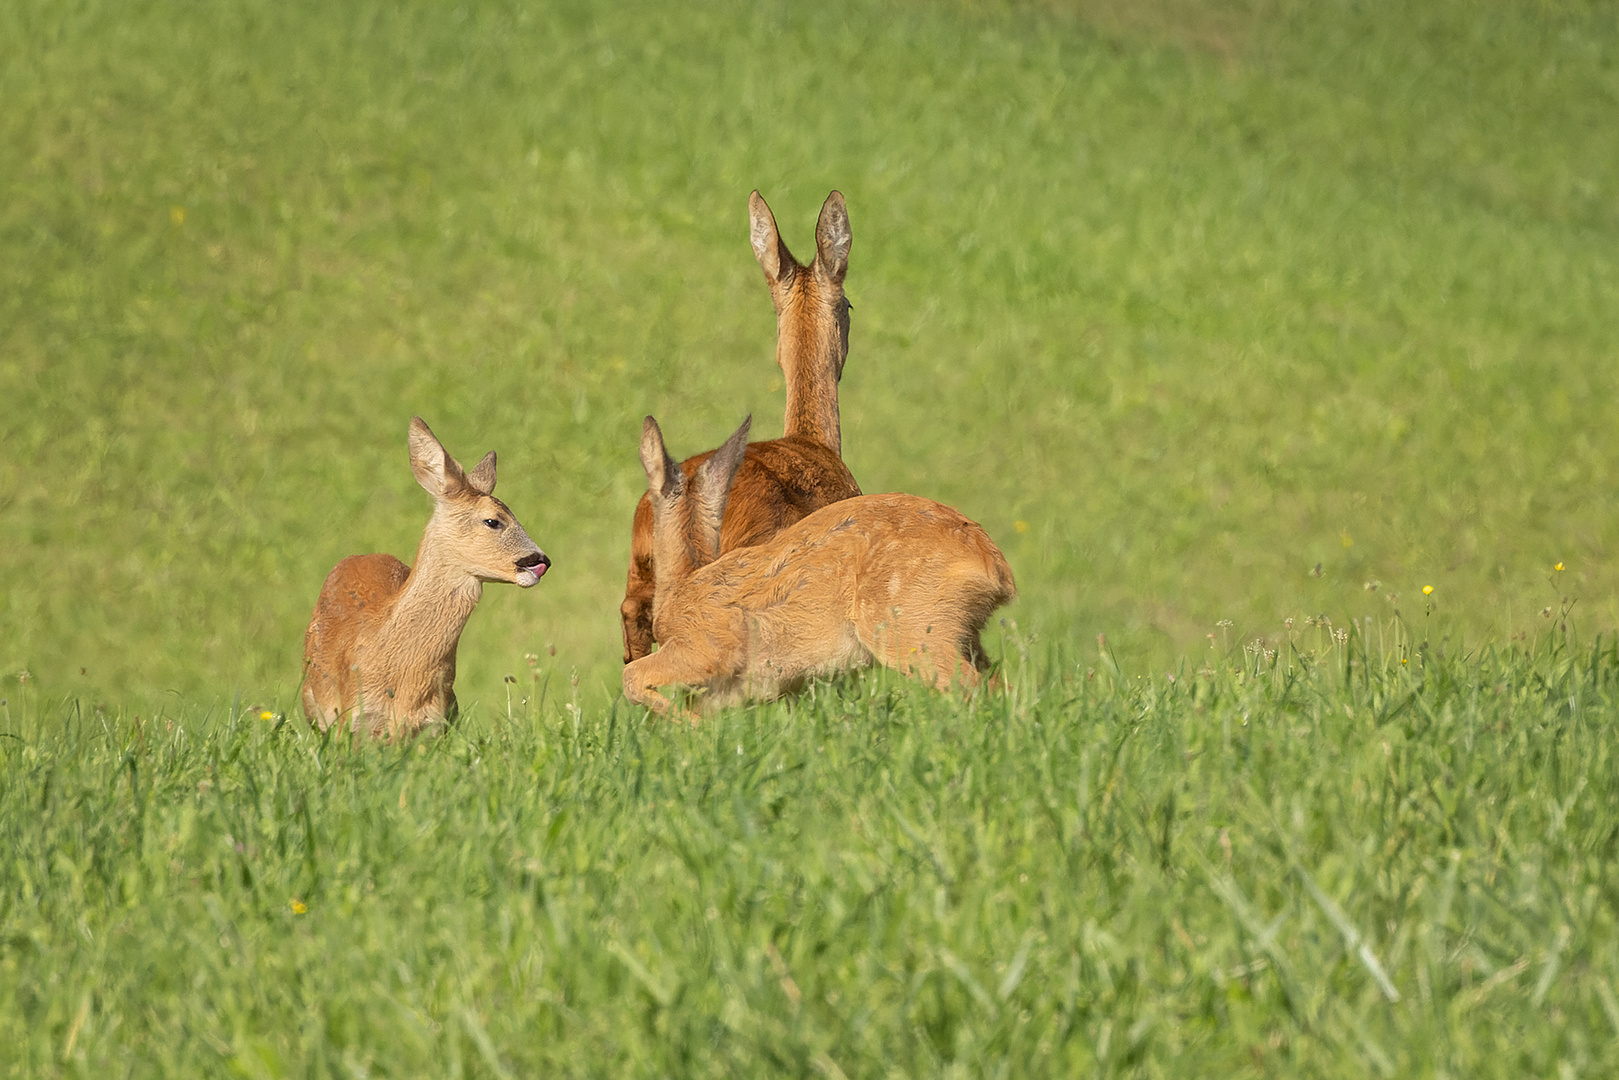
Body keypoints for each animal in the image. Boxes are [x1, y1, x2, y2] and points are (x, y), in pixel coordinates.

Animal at [618, 417, 1010, 722]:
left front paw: (691, 729)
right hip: (960, 630)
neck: (683, 583)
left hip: (912, 627)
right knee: (997, 680)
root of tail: (993, 565)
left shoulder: (706, 648)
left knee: (972, 686)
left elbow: (632, 678)